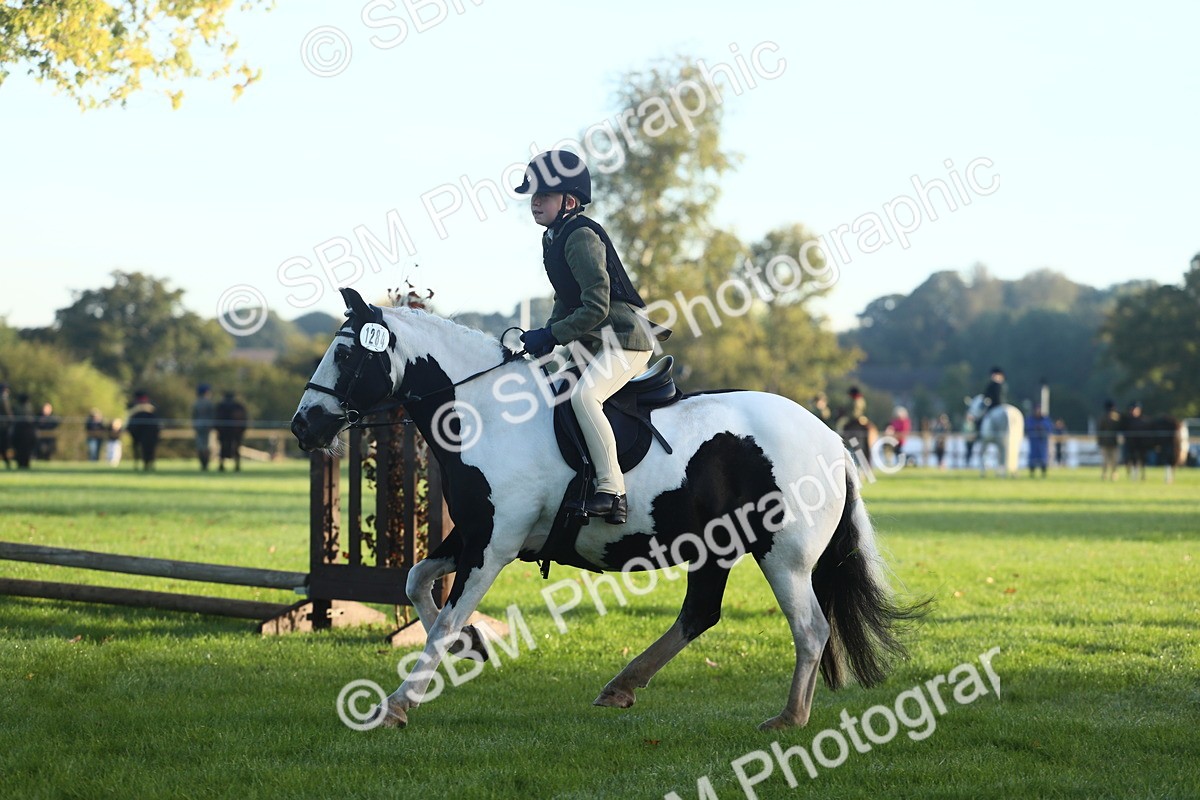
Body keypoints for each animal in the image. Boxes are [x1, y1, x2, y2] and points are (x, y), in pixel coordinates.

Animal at [290, 288, 925, 730]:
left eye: (345, 353)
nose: (303, 425)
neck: (484, 412)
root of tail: (830, 438)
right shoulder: (474, 535)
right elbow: (417, 584)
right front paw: (469, 650)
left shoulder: (492, 545)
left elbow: (444, 618)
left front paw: (399, 703)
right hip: (716, 549)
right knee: (700, 614)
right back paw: (624, 684)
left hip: (784, 555)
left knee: (810, 628)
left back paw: (789, 717)